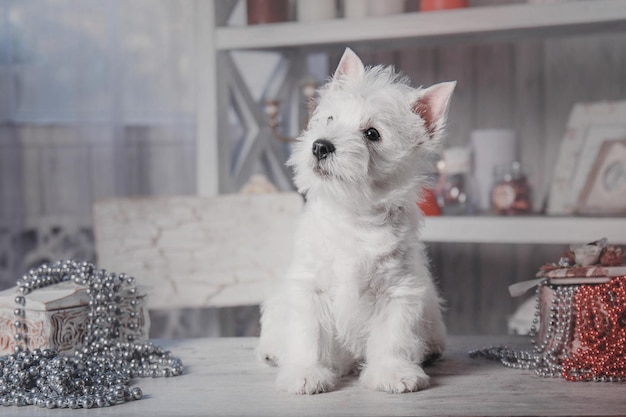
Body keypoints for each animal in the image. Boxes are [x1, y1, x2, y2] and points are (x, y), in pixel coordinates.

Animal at [258, 48, 454, 394]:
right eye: (330, 119)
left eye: (372, 134)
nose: (320, 145)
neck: (353, 215)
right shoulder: (310, 287)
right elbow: (308, 335)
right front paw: (306, 373)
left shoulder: (397, 289)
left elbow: (392, 336)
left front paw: (392, 372)